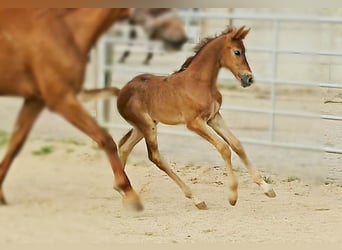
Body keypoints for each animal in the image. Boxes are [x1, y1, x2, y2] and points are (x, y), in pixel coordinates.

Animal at [0, 8, 146, 209]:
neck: (65, 28)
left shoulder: (35, 100)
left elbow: (15, 144)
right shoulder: (61, 99)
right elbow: (105, 138)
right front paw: (129, 193)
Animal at [81, 25, 276, 209]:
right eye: (237, 52)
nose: (249, 79)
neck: (200, 82)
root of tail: (121, 92)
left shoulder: (214, 117)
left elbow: (237, 145)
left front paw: (267, 189)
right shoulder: (195, 123)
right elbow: (223, 147)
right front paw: (232, 196)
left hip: (142, 126)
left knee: (124, 147)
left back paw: (123, 191)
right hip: (147, 126)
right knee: (155, 157)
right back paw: (196, 199)